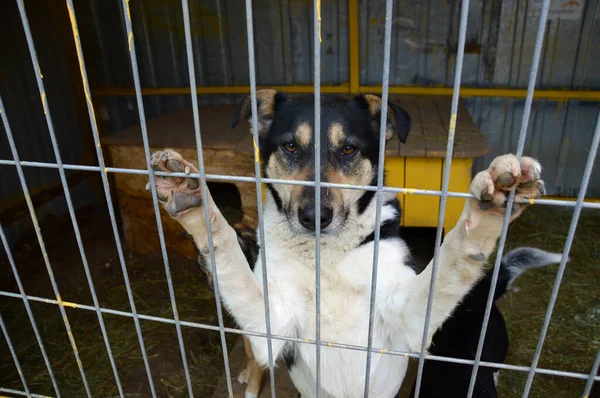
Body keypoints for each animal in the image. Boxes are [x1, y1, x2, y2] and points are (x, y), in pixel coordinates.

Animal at [148, 88, 548, 396]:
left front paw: (487, 209)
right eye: (290, 146)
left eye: (348, 149)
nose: (314, 217)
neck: (328, 255)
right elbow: (229, 256)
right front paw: (192, 201)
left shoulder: (408, 317)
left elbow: (452, 256)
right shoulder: (271, 327)